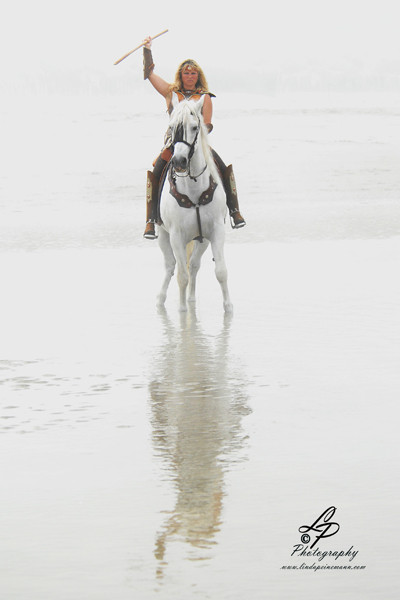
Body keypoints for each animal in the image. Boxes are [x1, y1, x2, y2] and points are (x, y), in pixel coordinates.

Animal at [155, 94, 233, 314]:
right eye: (171, 127)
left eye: (194, 127)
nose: (179, 161)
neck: (193, 190)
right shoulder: (176, 235)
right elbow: (182, 275)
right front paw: (182, 312)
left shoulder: (215, 231)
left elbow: (221, 271)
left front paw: (228, 308)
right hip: (162, 235)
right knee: (171, 266)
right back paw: (162, 299)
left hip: (202, 239)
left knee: (194, 264)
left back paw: (190, 300)